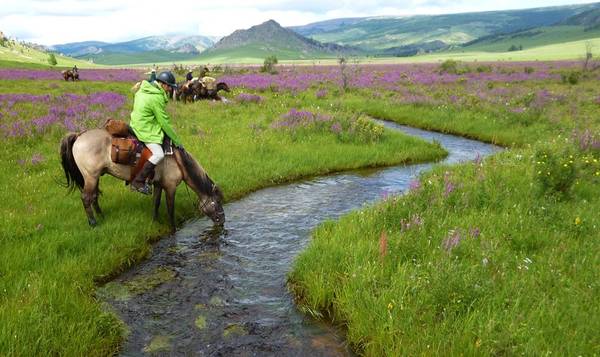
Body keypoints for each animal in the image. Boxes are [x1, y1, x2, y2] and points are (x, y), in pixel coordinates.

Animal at [60, 129, 225, 229]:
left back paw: (102, 216)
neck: (179, 162)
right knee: (86, 198)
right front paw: (173, 228)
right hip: (91, 176)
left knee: (93, 196)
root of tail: (79, 135)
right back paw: (93, 223)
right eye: (217, 202)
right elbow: (170, 210)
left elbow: (156, 204)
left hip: (94, 177)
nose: (222, 221)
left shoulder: (158, 185)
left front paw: (155, 222)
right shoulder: (170, 187)